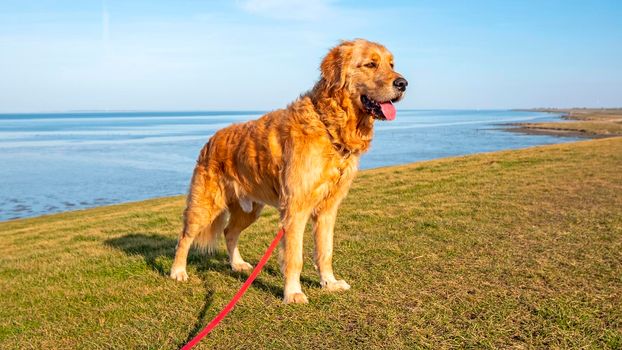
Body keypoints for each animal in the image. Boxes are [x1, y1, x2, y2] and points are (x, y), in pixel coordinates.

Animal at [171, 37, 410, 300]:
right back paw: (178, 271)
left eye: (391, 64)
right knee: (184, 237)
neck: (329, 126)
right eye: (370, 64)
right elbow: (294, 257)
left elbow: (325, 251)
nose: (403, 84)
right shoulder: (296, 209)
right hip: (204, 206)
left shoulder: (328, 210)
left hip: (249, 209)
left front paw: (329, 282)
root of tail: (211, 139)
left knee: (229, 232)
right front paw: (293, 293)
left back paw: (237, 264)